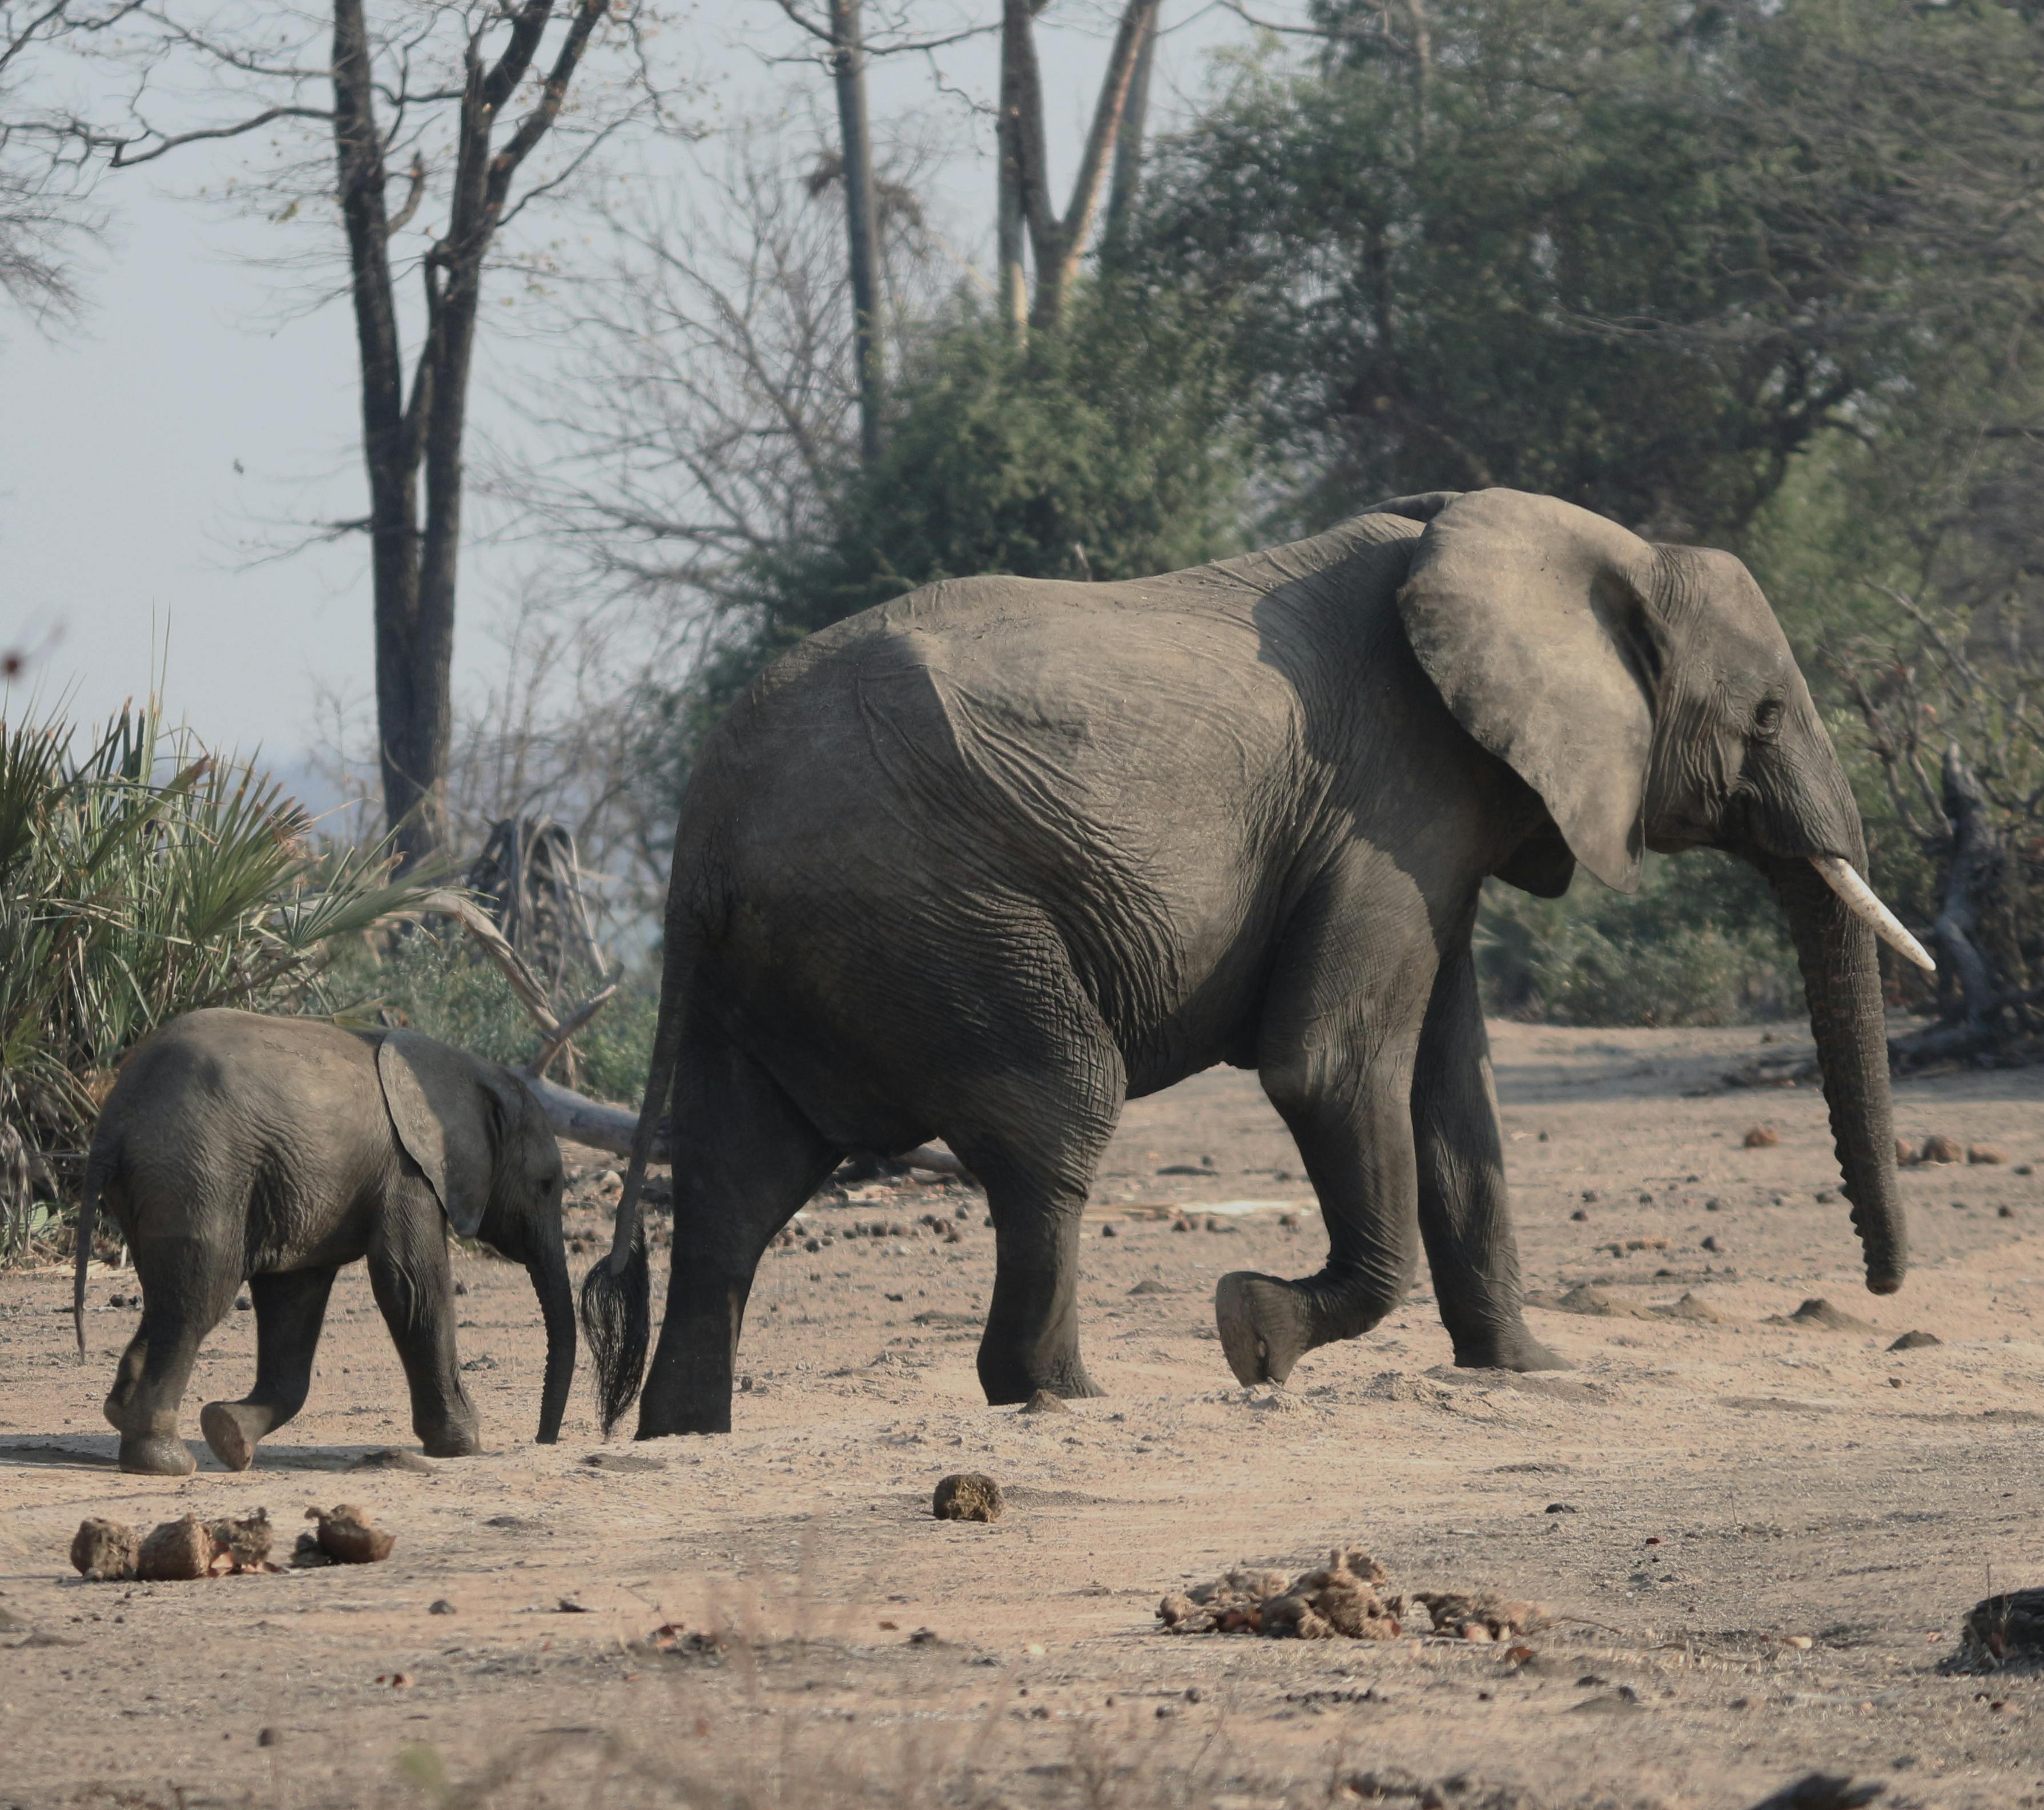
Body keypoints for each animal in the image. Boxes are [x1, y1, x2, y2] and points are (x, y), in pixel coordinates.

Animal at [589, 486, 1929, 1431]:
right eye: (1764, 718)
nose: (1883, 1289)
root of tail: (698, 835)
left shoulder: (1432, 820)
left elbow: (1452, 1089)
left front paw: (1528, 1369)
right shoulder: (1391, 797)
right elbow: (1329, 1062)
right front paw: (1253, 1337)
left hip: (793, 957)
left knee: (735, 1186)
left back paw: (684, 1438)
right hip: (933, 916)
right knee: (1058, 1111)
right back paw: (1062, 1397)